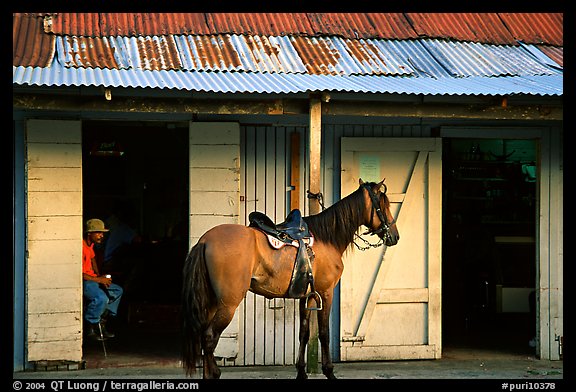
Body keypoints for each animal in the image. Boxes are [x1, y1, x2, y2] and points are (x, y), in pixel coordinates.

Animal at [182, 179, 398, 378]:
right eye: (384, 204)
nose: (394, 236)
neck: (326, 238)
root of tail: (205, 240)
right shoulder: (325, 293)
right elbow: (324, 333)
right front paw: (329, 371)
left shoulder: (306, 296)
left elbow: (304, 333)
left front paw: (301, 371)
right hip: (228, 304)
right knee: (210, 338)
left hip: (212, 303)